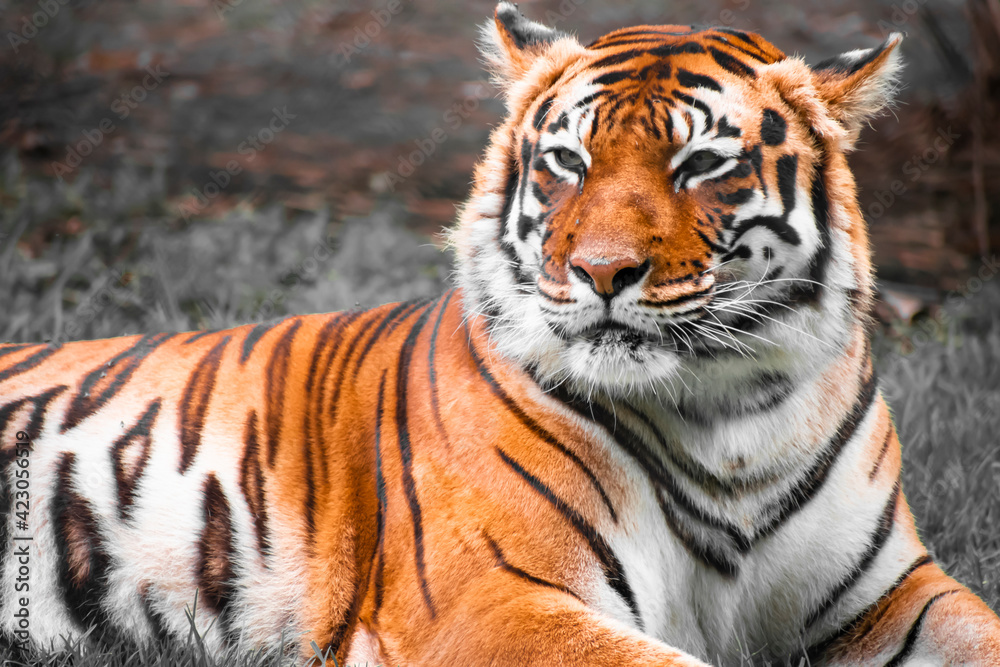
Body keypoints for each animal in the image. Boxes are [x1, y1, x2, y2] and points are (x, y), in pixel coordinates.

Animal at [1, 2, 1000, 664]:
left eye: (699, 165)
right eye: (568, 160)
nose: (602, 272)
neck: (730, 414)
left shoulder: (892, 591)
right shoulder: (497, 598)